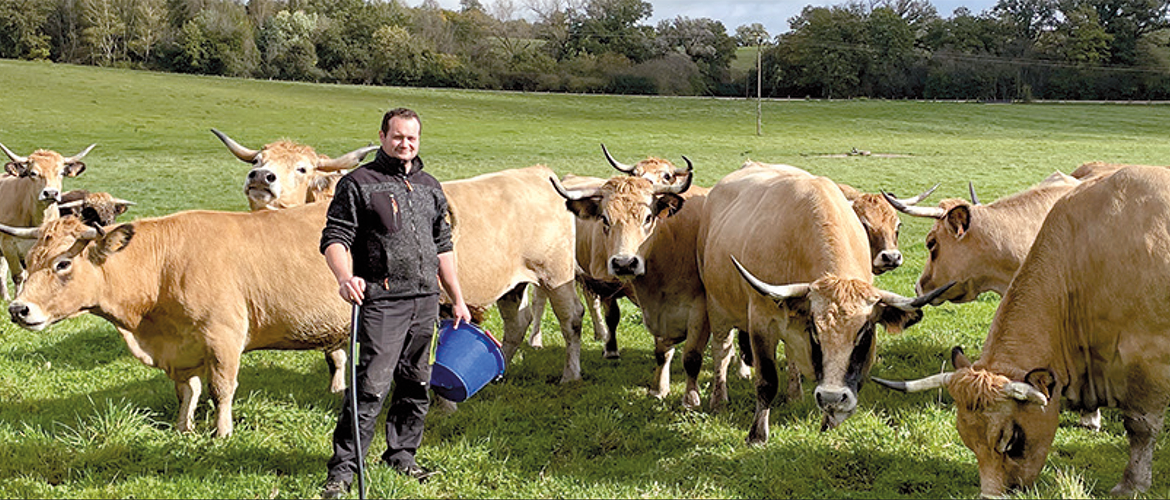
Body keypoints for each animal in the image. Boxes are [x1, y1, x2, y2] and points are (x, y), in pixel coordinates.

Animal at [3, 203, 346, 437]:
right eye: (29, 260)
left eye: (62, 263)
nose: (18, 309)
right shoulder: (183, 347)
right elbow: (188, 391)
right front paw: (184, 427)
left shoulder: (223, 337)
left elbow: (221, 388)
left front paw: (222, 432)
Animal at [549, 174, 706, 409]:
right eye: (605, 219)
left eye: (648, 218)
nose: (624, 263)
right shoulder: (644, 303)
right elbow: (659, 350)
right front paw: (658, 388)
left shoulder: (700, 309)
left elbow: (691, 356)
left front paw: (690, 399)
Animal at [692, 163, 950, 442]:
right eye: (815, 331)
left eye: (864, 333)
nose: (832, 396)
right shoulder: (761, 321)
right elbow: (767, 380)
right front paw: (757, 435)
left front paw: (827, 419)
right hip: (718, 307)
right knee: (722, 349)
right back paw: (719, 399)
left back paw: (794, 395)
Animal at [875, 166, 1170, 498]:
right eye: (968, 443)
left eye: (931, 244)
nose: (918, 286)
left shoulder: (1148, 359)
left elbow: (1140, 426)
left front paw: (1132, 483)